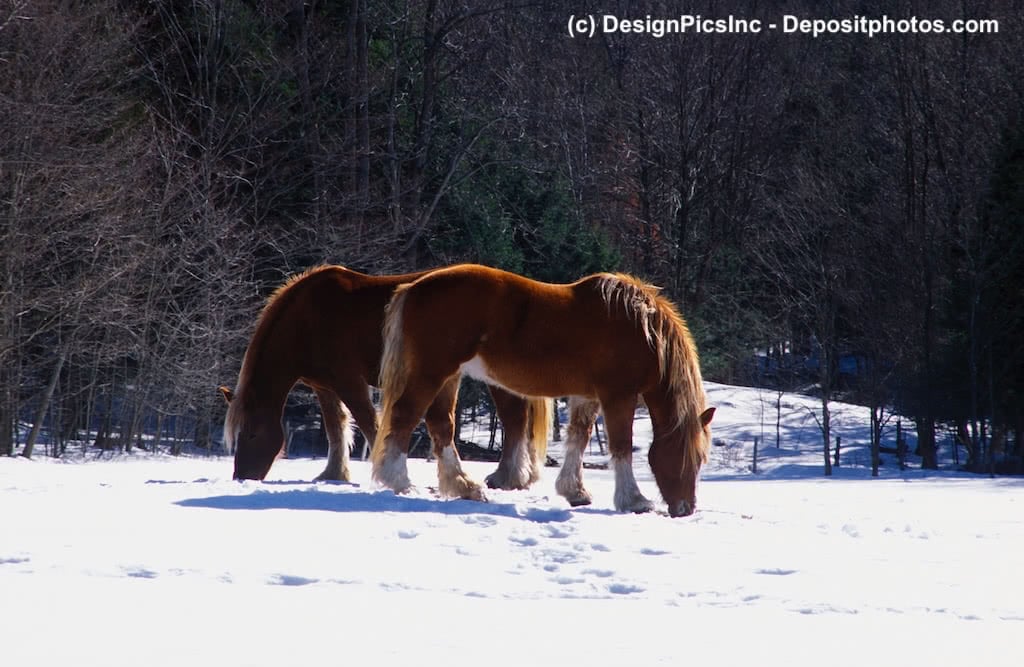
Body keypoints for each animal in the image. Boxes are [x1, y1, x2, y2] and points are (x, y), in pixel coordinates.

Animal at [220, 265, 550, 490]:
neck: (307, 320)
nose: (242, 477)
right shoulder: (324, 387)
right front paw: (333, 475)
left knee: (513, 419)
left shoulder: (349, 382)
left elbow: (369, 423)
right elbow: (336, 429)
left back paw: (507, 477)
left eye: (252, 434)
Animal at [371, 264, 715, 517]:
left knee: (441, 425)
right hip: (432, 373)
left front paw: (575, 491)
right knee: (405, 416)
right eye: (691, 456)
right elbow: (621, 446)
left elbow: (579, 438)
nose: (685, 509)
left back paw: (464, 486)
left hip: (449, 377)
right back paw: (399, 481)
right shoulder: (618, 396)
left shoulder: (587, 396)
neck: (642, 331)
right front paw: (634, 500)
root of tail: (413, 288)